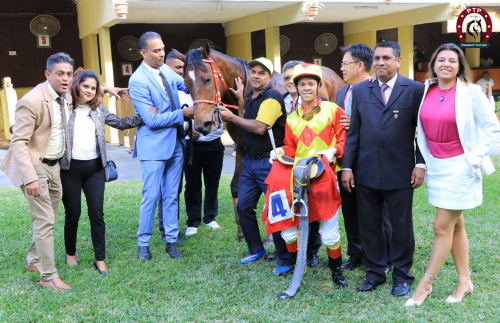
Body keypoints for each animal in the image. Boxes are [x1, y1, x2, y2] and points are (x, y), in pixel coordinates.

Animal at [176, 42, 348, 240]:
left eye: (207, 79)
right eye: (186, 84)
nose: (201, 124)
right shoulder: (242, 146)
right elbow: (236, 186)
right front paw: (242, 231)